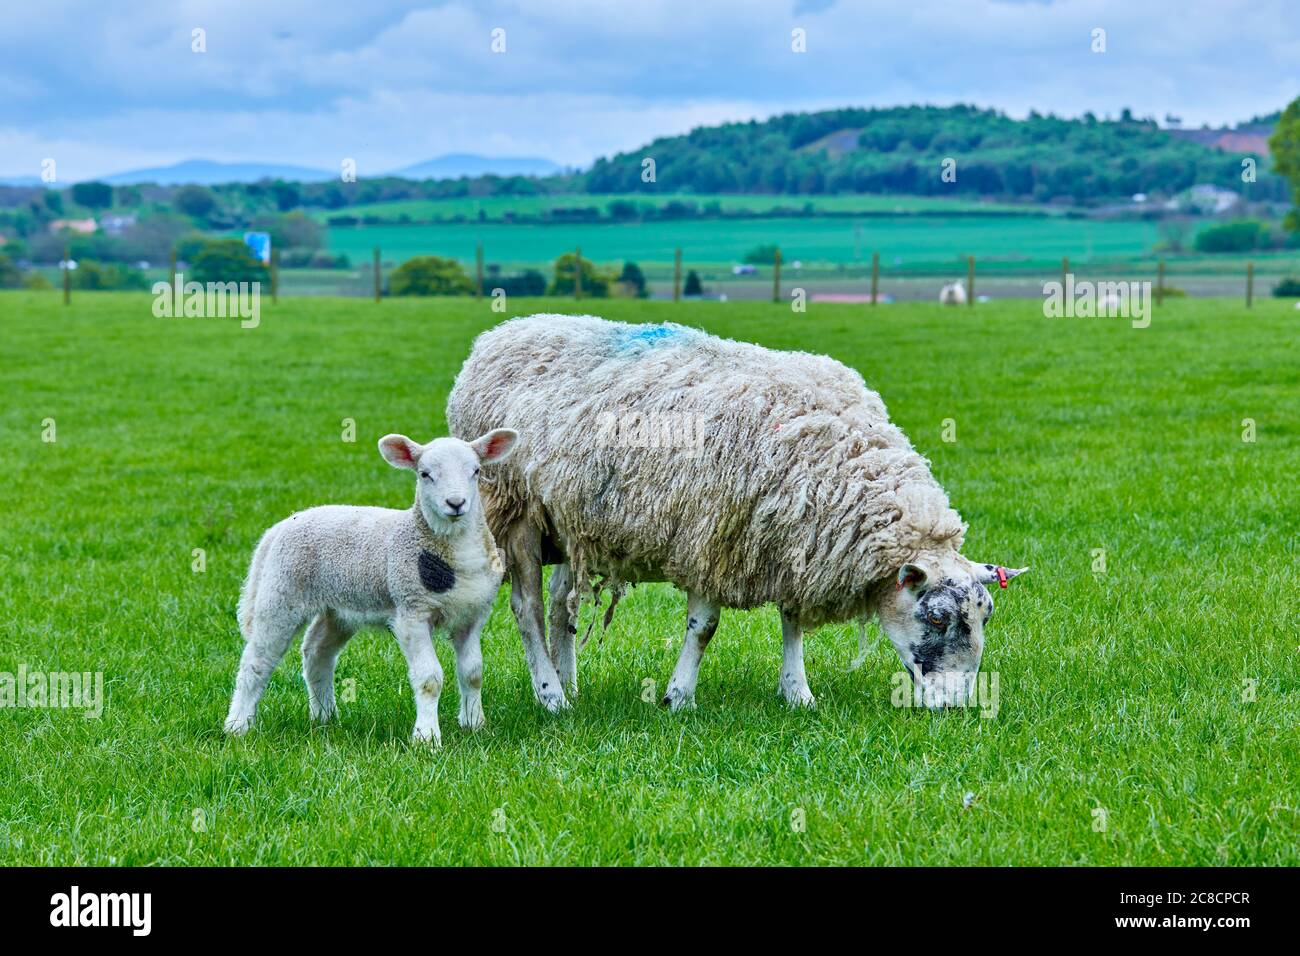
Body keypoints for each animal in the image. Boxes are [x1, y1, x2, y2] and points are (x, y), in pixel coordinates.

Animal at [223, 428, 518, 744]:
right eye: (425, 474)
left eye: (476, 471)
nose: (456, 503)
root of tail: (279, 527)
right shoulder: (411, 612)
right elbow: (429, 679)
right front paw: (426, 737)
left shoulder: (473, 614)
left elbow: (473, 673)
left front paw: (475, 724)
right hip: (282, 593)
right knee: (256, 662)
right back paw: (238, 725)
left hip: (338, 610)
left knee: (317, 653)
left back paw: (324, 717)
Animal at [446, 314, 1027, 713]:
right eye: (937, 617)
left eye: (986, 617)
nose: (954, 708)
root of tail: (497, 336)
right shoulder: (711, 536)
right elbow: (704, 627)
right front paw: (678, 697)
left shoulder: (793, 536)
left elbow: (793, 619)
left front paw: (797, 692)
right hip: (517, 512)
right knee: (527, 610)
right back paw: (550, 695)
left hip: (568, 524)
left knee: (562, 607)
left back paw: (569, 685)